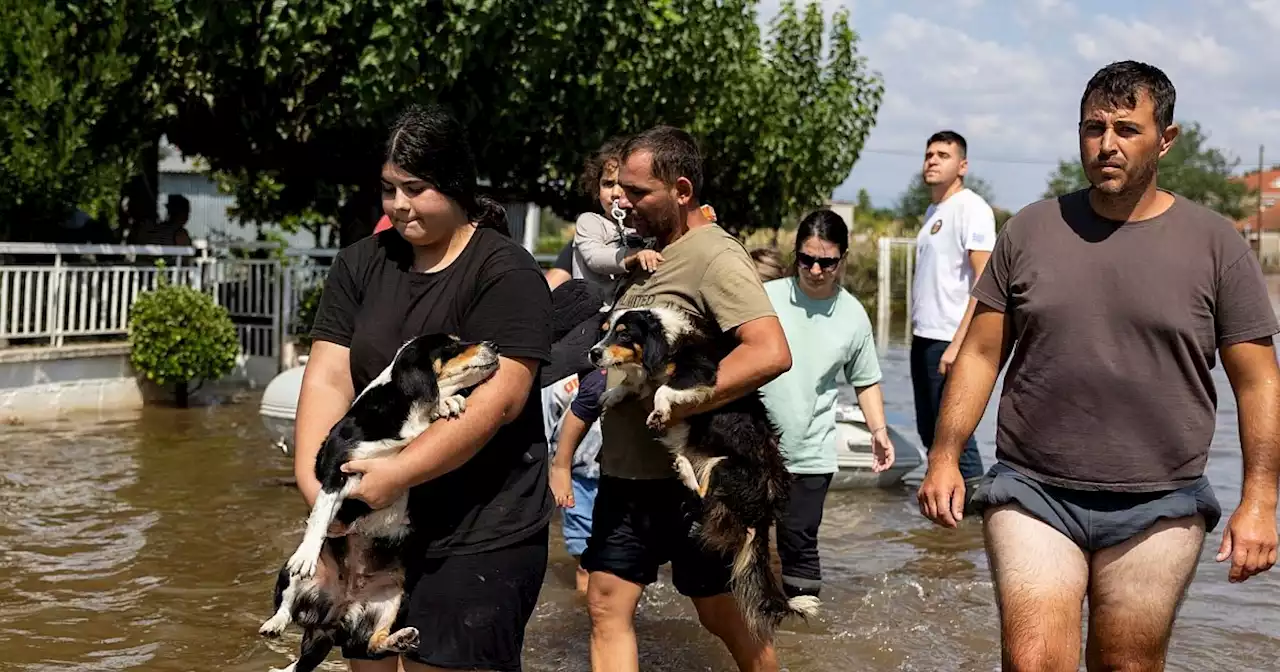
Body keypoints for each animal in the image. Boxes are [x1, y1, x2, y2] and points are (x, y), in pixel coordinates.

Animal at [259, 332, 499, 665]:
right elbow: (319, 520)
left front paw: (447, 402)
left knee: (375, 643)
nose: (495, 346)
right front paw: (307, 553)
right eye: (451, 346)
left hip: (394, 598)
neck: (406, 412)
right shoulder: (336, 472)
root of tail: (336, 618)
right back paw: (275, 621)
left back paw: (401, 638)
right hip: (291, 575)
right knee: (288, 601)